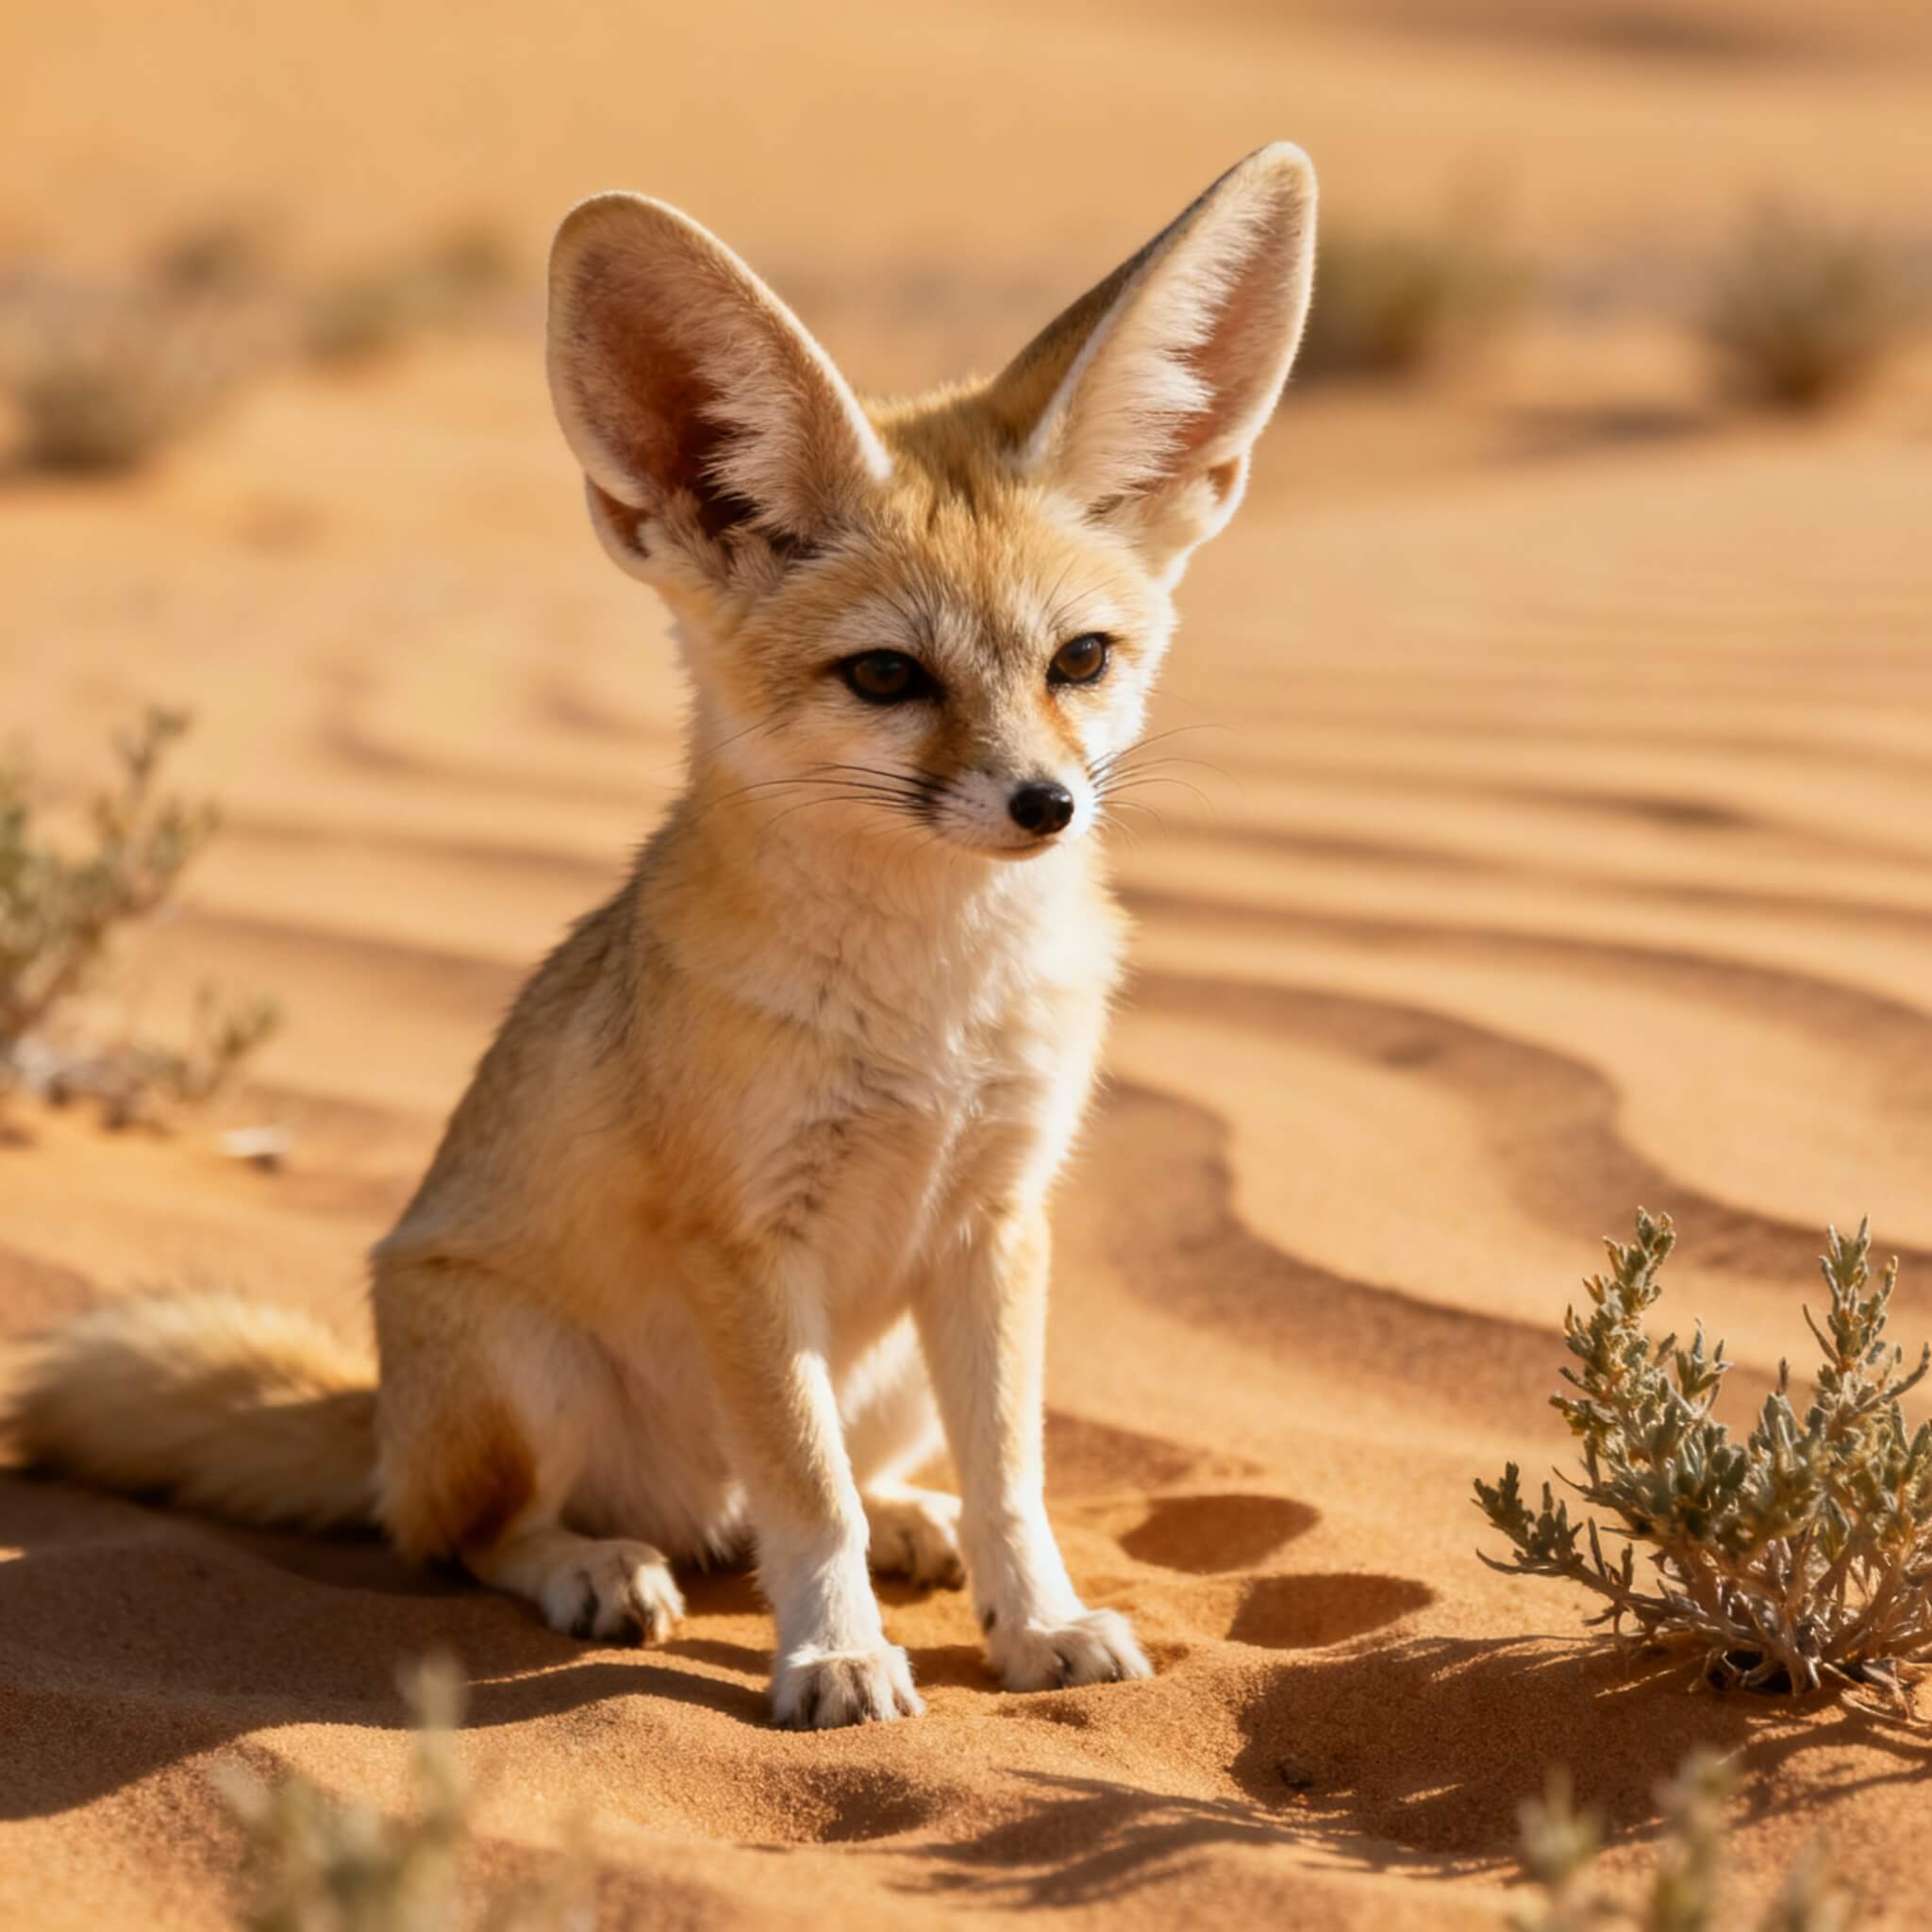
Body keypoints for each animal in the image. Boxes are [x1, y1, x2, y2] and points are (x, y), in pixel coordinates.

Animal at [6, 145, 1317, 1727]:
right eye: (887, 678)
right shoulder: (745, 1243)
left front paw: (1038, 1621)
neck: (931, 1005)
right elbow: (804, 1491)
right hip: (528, 1368)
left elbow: (1011, 1475)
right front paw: (833, 1655)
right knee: (483, 1534)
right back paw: (599, 1565)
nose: (1045, 806)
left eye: (1081, 662)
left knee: (781, 1505)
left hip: (885, 1365)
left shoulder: (996, 1223)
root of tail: (380, 1419)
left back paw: (904, 1525)